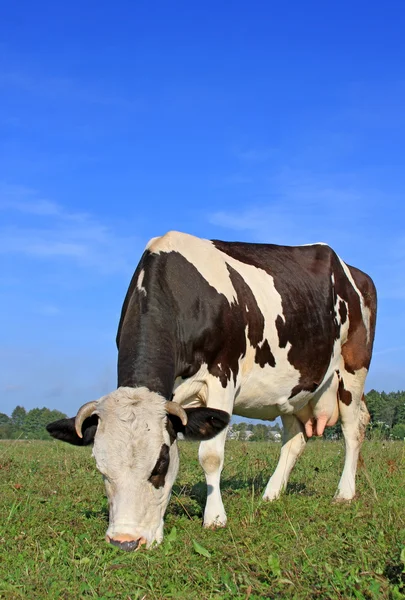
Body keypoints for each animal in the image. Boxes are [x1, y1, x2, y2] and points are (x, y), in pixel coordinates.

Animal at [46, 232, 376, 552]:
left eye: (160, 465)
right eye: (101, 469)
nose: (125, 541)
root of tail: (355, 272)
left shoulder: (222, 377)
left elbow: (211, 456)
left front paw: (215, 517)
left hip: (353, 370)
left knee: (353, 429)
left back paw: (344, 493)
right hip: (293, 389)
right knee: (295, 439)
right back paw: (271, 494)